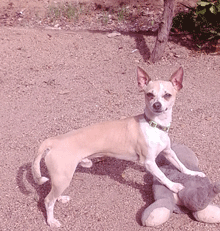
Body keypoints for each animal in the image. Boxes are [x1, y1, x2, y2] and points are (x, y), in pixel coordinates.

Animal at [31, 67, 205, 227]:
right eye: (149, 94)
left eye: (167, 95)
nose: (156, 105)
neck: (154, 125)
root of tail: (53, 141)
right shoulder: (149, 162)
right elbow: (162, 176)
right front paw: (174, 186)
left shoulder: (168, 152)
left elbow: (181, 166)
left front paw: (194, 173)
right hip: (63, 176)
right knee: (48, 200)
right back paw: (51, 221)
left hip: (61, 177)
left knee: (53, 192)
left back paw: (61, 198)